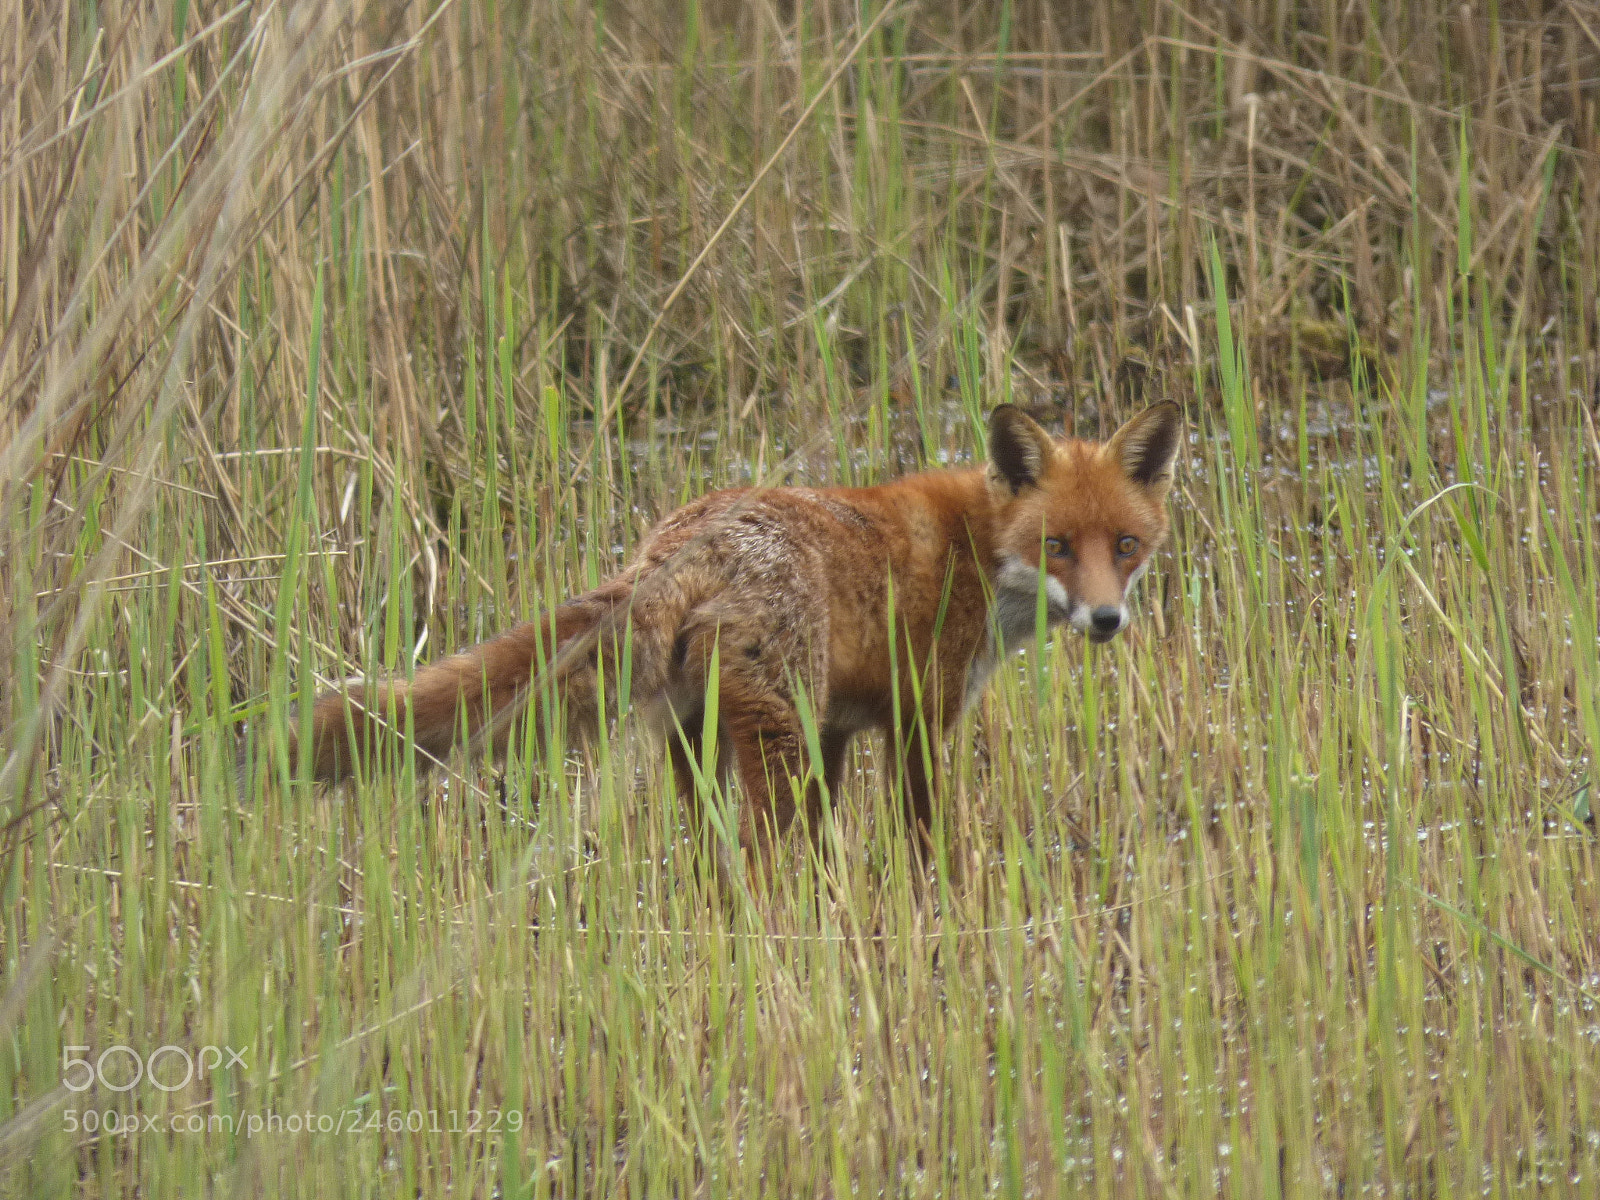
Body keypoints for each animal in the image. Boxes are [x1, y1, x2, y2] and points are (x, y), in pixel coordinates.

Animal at [288, 402, 1183, 876]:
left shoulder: (838, 731)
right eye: (1056, 545)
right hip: (772, 736)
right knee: (755, 851)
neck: (978, 549)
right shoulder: (916, 722)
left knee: (712, 850)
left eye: (1125, 546)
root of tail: (680, 540)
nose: (1106, 622)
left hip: (698, 737)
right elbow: (923, 838)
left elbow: (827, 842)